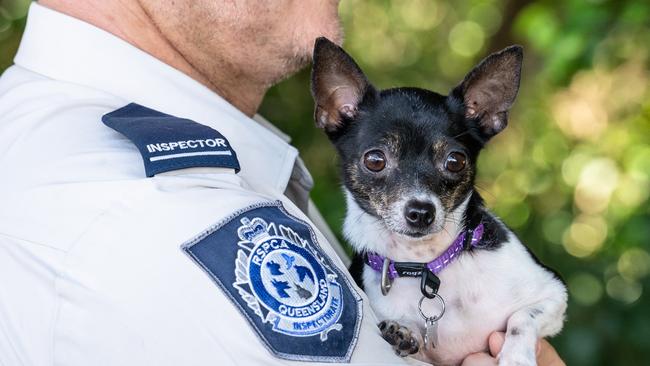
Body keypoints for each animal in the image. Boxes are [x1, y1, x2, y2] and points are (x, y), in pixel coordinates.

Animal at [308, 38, 568, 366]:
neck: (426, 264)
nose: (421, 211)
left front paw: (516, 358)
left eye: (455, 161)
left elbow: (522, 319)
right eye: (375, 160)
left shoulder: (553, 293)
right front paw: (403, 331)